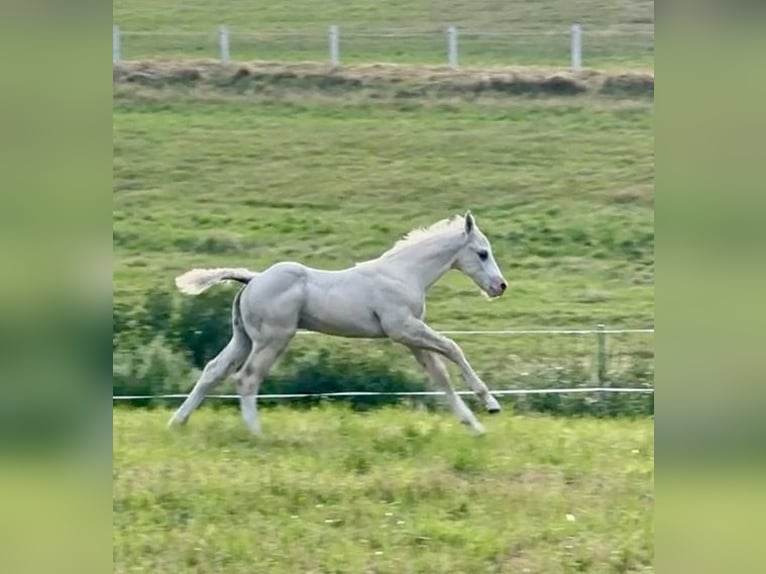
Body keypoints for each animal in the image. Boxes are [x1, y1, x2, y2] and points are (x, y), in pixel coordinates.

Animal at [168, 211, 508, 435]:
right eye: (482, 253)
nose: (500, 286)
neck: (403, 274)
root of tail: (252, 279)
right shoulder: (403, 329)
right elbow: (453, 348)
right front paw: (490, 404)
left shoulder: (411, 337)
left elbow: (440, 376)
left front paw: (474, 426)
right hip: (273, 339)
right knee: (247, 378)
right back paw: (256, 434)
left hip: (244, 338)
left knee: (213, 370)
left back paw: (177, 422)